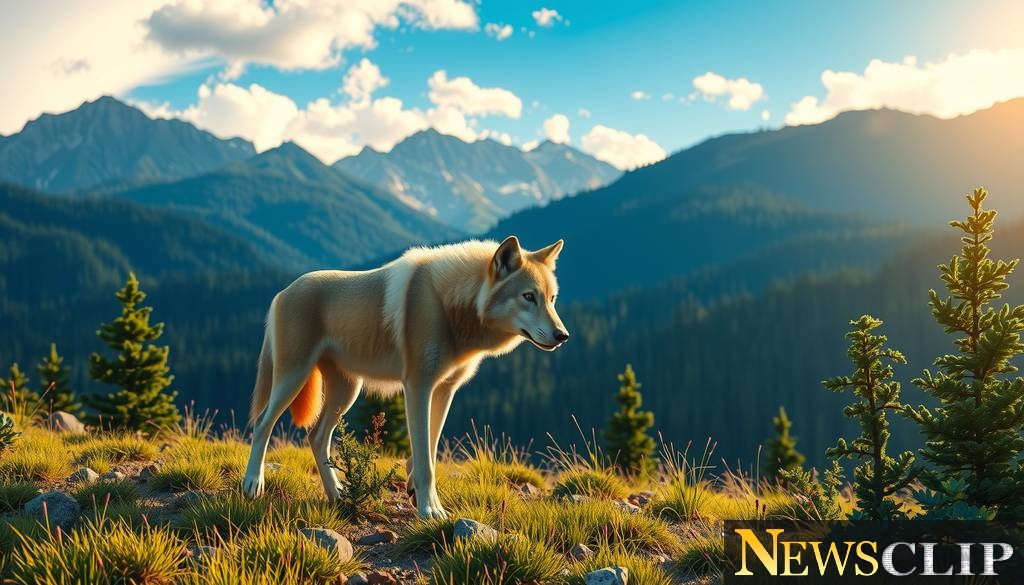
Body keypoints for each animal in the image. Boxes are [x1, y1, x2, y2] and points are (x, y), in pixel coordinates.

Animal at [242, 236, 568, 518]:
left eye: (552, 299)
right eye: (529, 297)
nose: (562, 336)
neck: (448, 303)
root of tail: (281, 293)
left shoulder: (445, 390)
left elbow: (430, 450)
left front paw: (414, 489)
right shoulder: (418, 387)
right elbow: (426, 460)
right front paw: (430, 510)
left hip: (346, 393)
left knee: (316, 436)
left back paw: (337, 494)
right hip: (293, 379)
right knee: (263, 423)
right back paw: (253, 484)